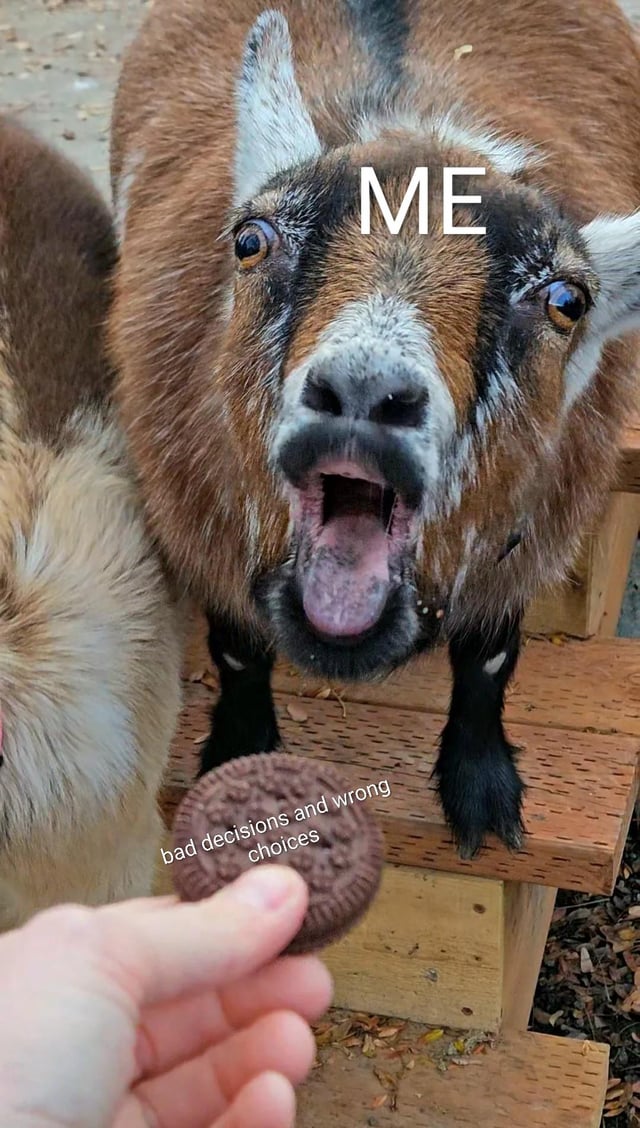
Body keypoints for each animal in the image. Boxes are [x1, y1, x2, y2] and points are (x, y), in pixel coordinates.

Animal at [110, 0, 640, 857]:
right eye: (251, 239)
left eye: (567, 299)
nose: (364, 390)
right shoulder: (200, 526)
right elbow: (236, 649)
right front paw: (242, 768)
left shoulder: (522, 539)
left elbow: (489, 658)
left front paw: (480, 790)